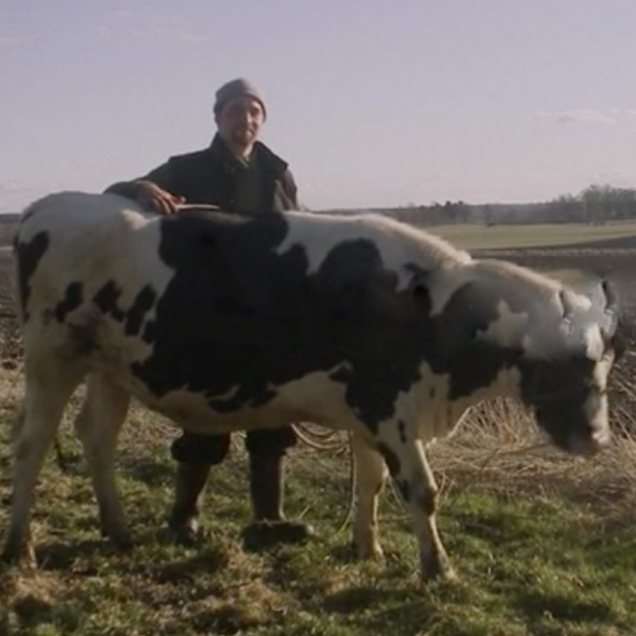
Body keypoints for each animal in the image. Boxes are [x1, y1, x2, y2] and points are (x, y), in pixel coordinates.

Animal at [1, 193, 620, 580]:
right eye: (565, 366)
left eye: (604, 366)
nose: (597, 440)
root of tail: (46, 206)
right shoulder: (390, 409)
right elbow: (421, 491)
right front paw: (438, 569)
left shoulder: (370, 415)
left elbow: (369, 484)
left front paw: (368, 550)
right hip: (51, 358)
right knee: (31, 444)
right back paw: (20, 546)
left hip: (112, 369)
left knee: (95, 436)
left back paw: (118, 529)